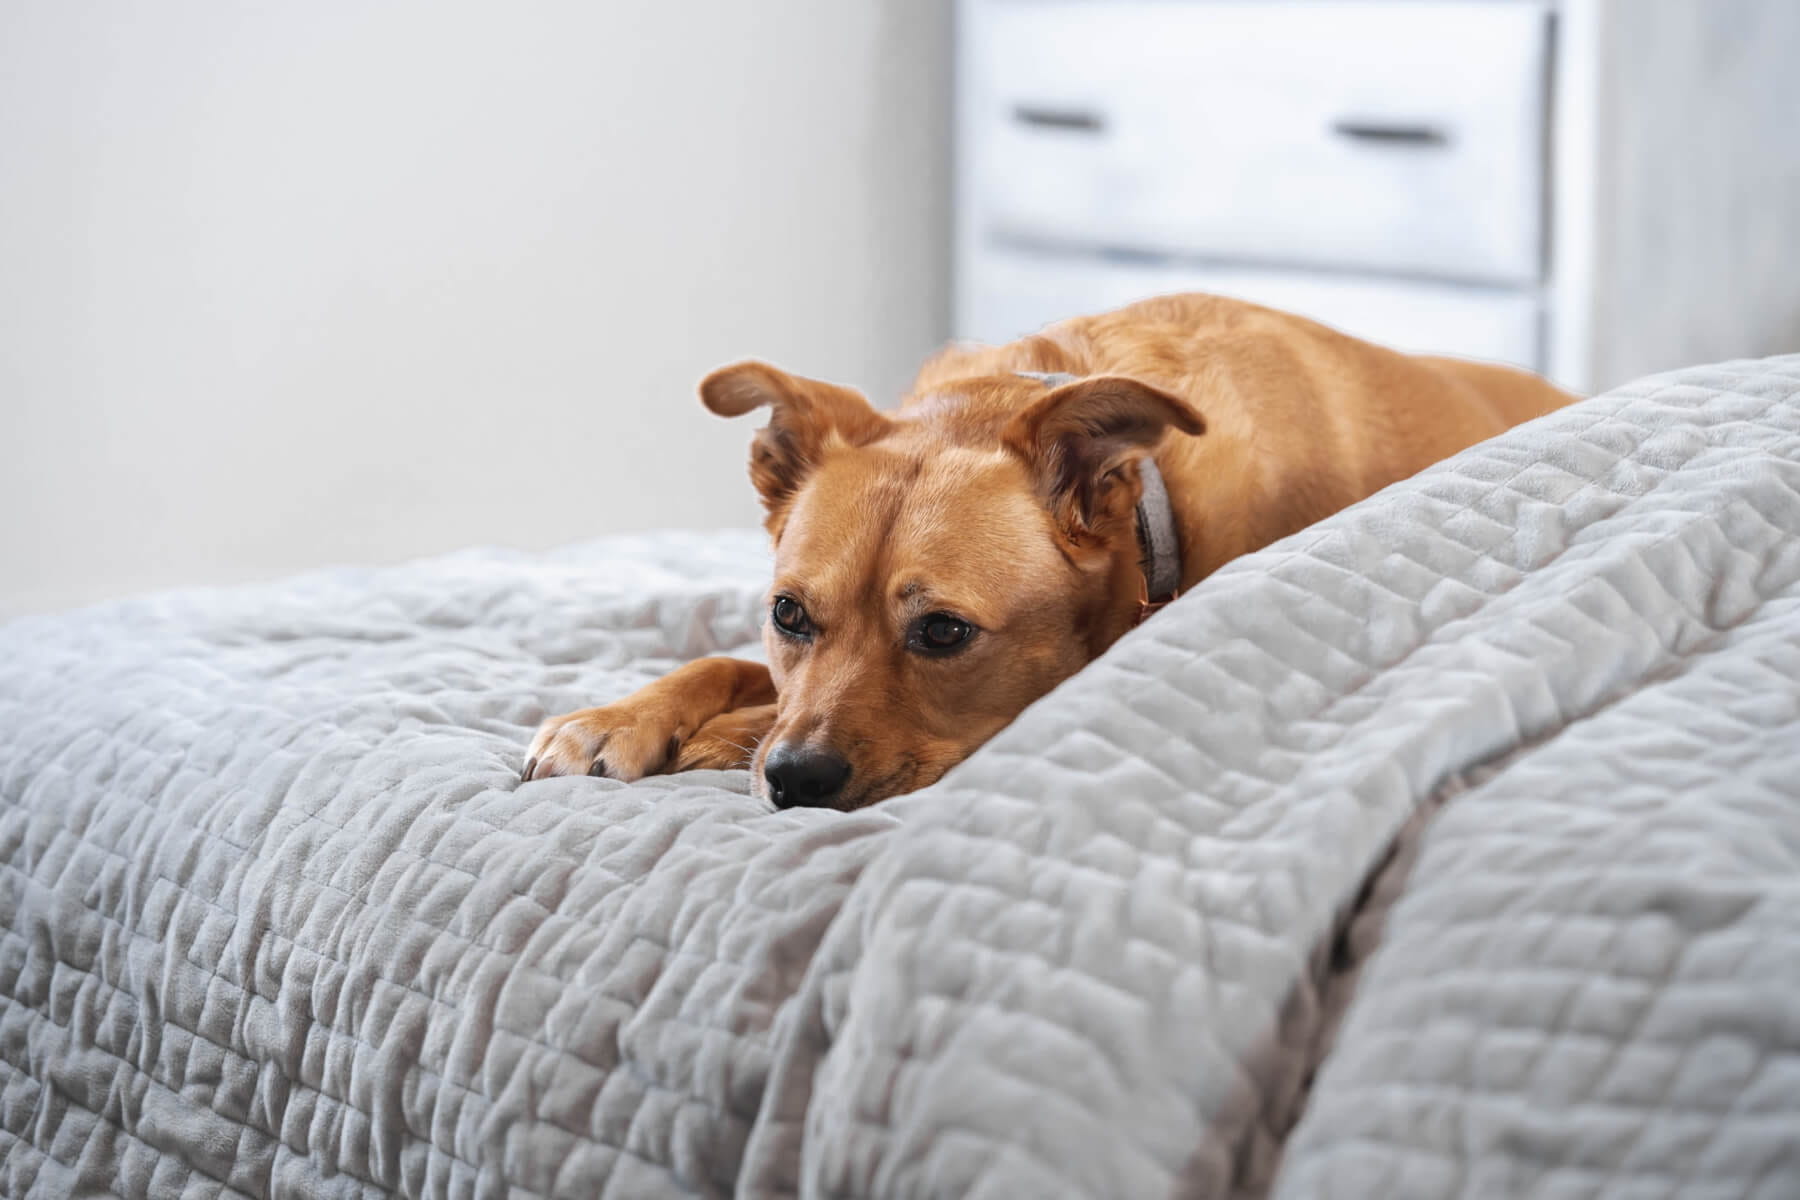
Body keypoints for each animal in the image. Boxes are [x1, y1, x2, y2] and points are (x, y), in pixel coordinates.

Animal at [525, 295, 1576, 813]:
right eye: (789, 614)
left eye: (944, 633)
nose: (794, 781)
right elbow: (723, 660)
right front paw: (618, 717)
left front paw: (723, 736)